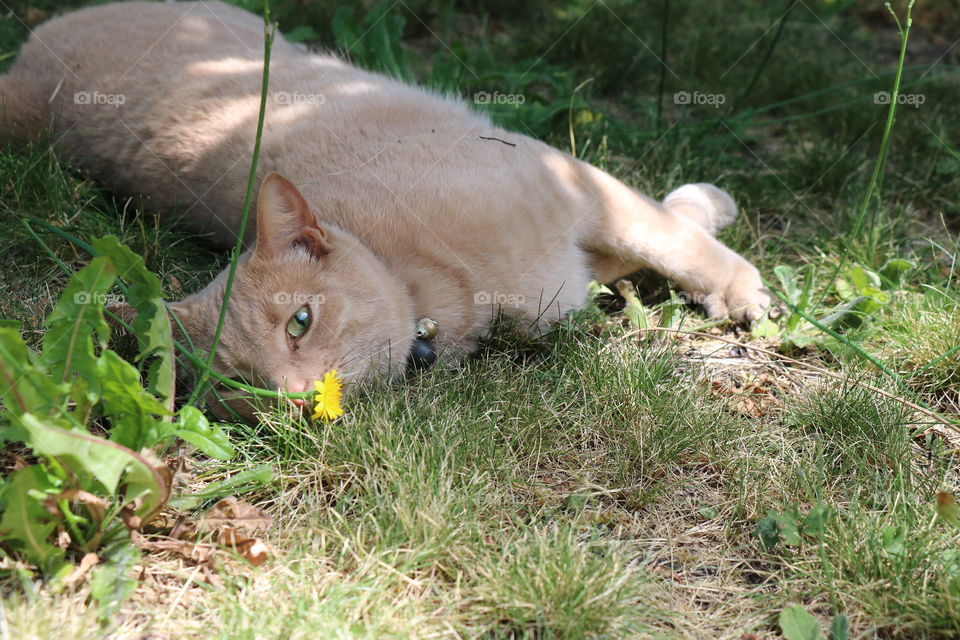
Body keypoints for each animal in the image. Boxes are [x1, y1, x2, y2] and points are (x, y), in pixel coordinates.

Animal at [0, 0, 768, 418]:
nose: (292, 395)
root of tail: (27, 67)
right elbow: (654, 244)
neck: (427, 281)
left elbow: (674, 241)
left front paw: (734, 281)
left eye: (300, 322)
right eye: (237, 383)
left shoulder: (578, 191)